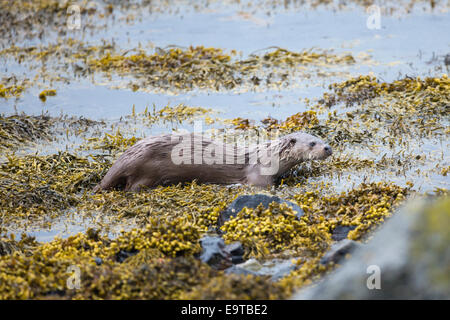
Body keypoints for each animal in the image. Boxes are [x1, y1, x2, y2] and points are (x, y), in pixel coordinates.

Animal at [93, 131, 332, 191]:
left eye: (321, 138)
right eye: (312, 143)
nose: (328, 147)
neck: (269, 156)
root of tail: (125, 158)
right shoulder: (257, 174)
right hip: (145, 172)